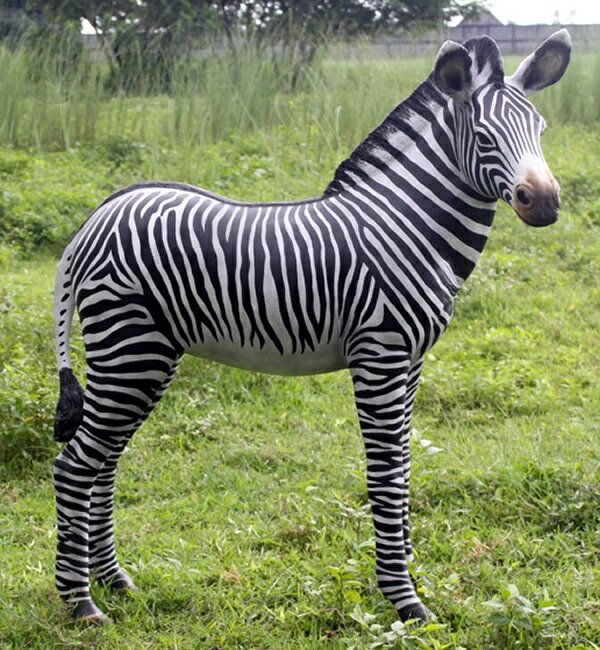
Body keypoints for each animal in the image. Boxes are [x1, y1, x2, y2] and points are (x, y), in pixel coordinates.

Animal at [52, 30, 571, 624]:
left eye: (542, 131)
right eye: (485, 137)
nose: (545, 202)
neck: (407, 226)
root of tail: (94, 218)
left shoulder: (413, 362)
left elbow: (405, 467)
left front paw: (409, 575)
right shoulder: (381, 355)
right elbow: (386, 473)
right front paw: (404, 598)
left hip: (147, 357)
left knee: (105, 463)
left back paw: (114, 580)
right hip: (130, 349)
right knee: (75, 466)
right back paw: (80, 602)